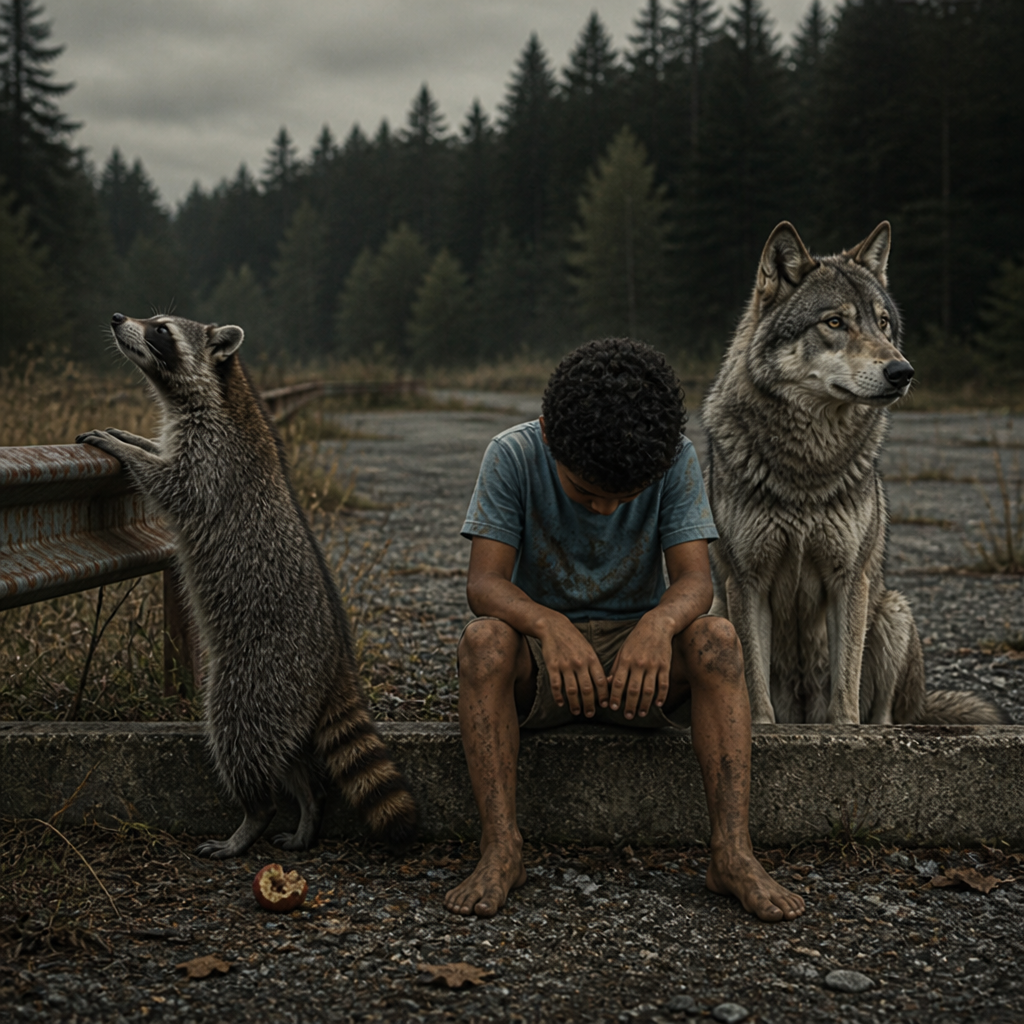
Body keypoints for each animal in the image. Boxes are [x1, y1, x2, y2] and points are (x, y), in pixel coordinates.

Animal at [78, 312, 419, 858]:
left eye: (160, 329)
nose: (116, 319)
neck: (219, 391)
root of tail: (336, 660)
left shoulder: (214, 456)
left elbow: (175, 484)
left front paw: (125, 449)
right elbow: (162, 452)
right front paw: (134, 437)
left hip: (261, 675)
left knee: (240, 734)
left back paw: (253, 815)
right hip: (287, 699)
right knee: (287, 754)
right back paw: (308, 805)